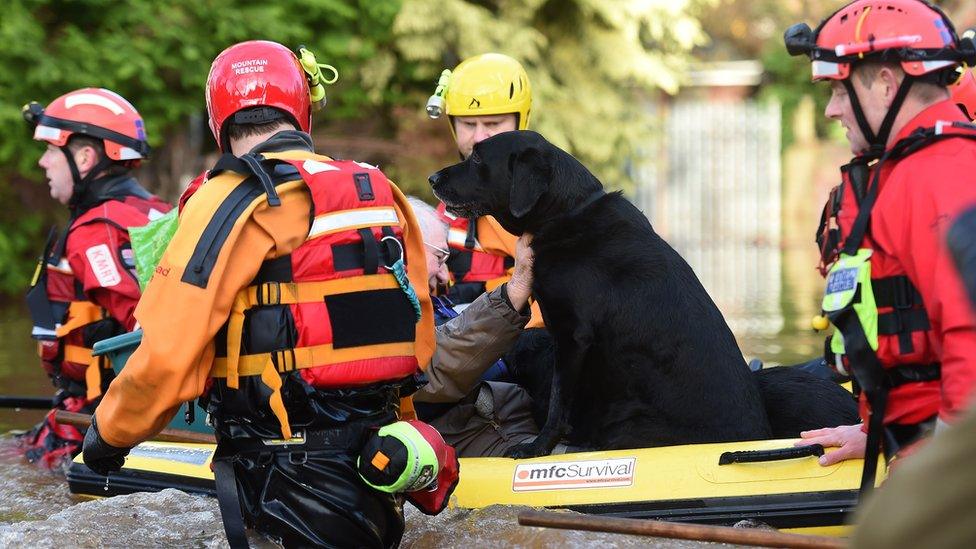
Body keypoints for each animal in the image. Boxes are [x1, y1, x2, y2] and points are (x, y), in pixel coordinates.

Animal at [428, 131, 776, 456]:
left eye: (477, 157)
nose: (432, 179)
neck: (566, 214)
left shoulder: (572, 336)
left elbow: (558, 402)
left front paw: (537, 448)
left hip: (625, 424)